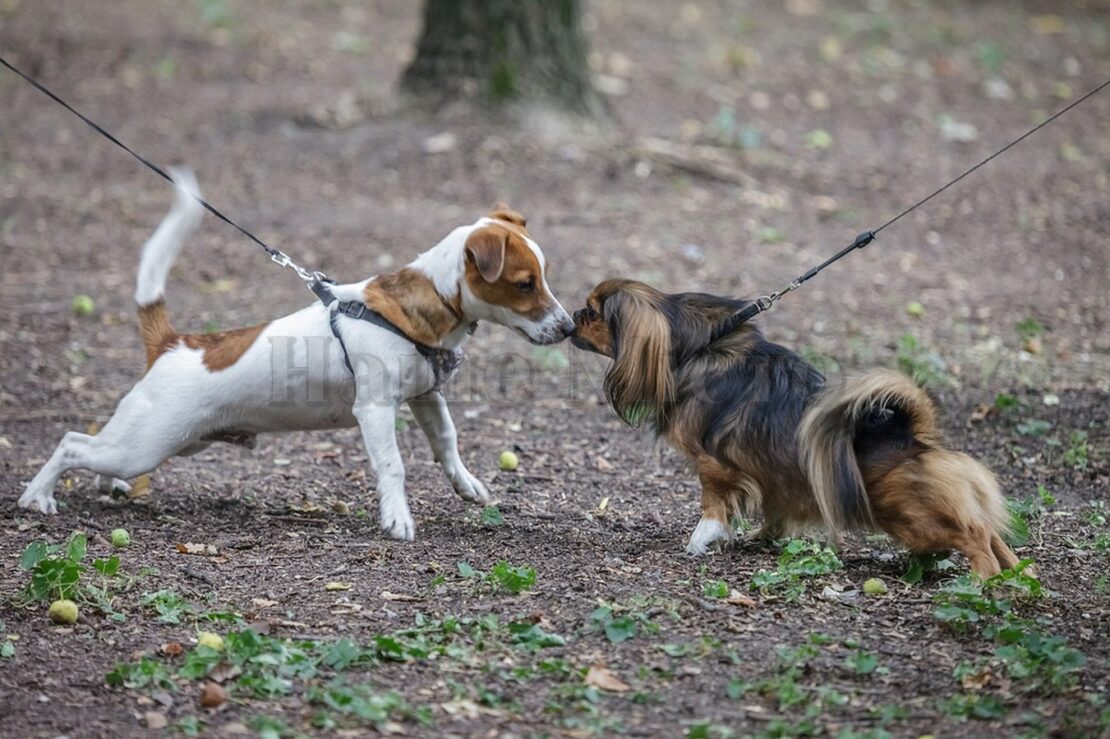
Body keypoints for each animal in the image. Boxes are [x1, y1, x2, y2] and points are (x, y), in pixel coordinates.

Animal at [19, 169, 572, 539]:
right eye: (525, 283)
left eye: (544, 275)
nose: (569, 327)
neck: (429, 301)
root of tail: (173, 343)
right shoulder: (375, 410)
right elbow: (393, 465)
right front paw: (397, 518)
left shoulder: (425, 398)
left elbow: (448, 442)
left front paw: (467, 485)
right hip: (144, 444)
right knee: (72, 443)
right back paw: (37, 496)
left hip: (167, 444)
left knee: (96, 451)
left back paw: (106, 486)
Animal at [577, 277, 1016, 576]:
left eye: (594, 312)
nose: (574, 318)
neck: (693, 347)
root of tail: (910, 435)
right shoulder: (768, 475)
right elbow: (771, 510)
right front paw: (756, 538)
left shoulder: (713, 465)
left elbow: (712, 507)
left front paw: (701, 541)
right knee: (992, 533)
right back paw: (1015, 575)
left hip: (911, 518)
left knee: (976, 536)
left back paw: (982, 580)